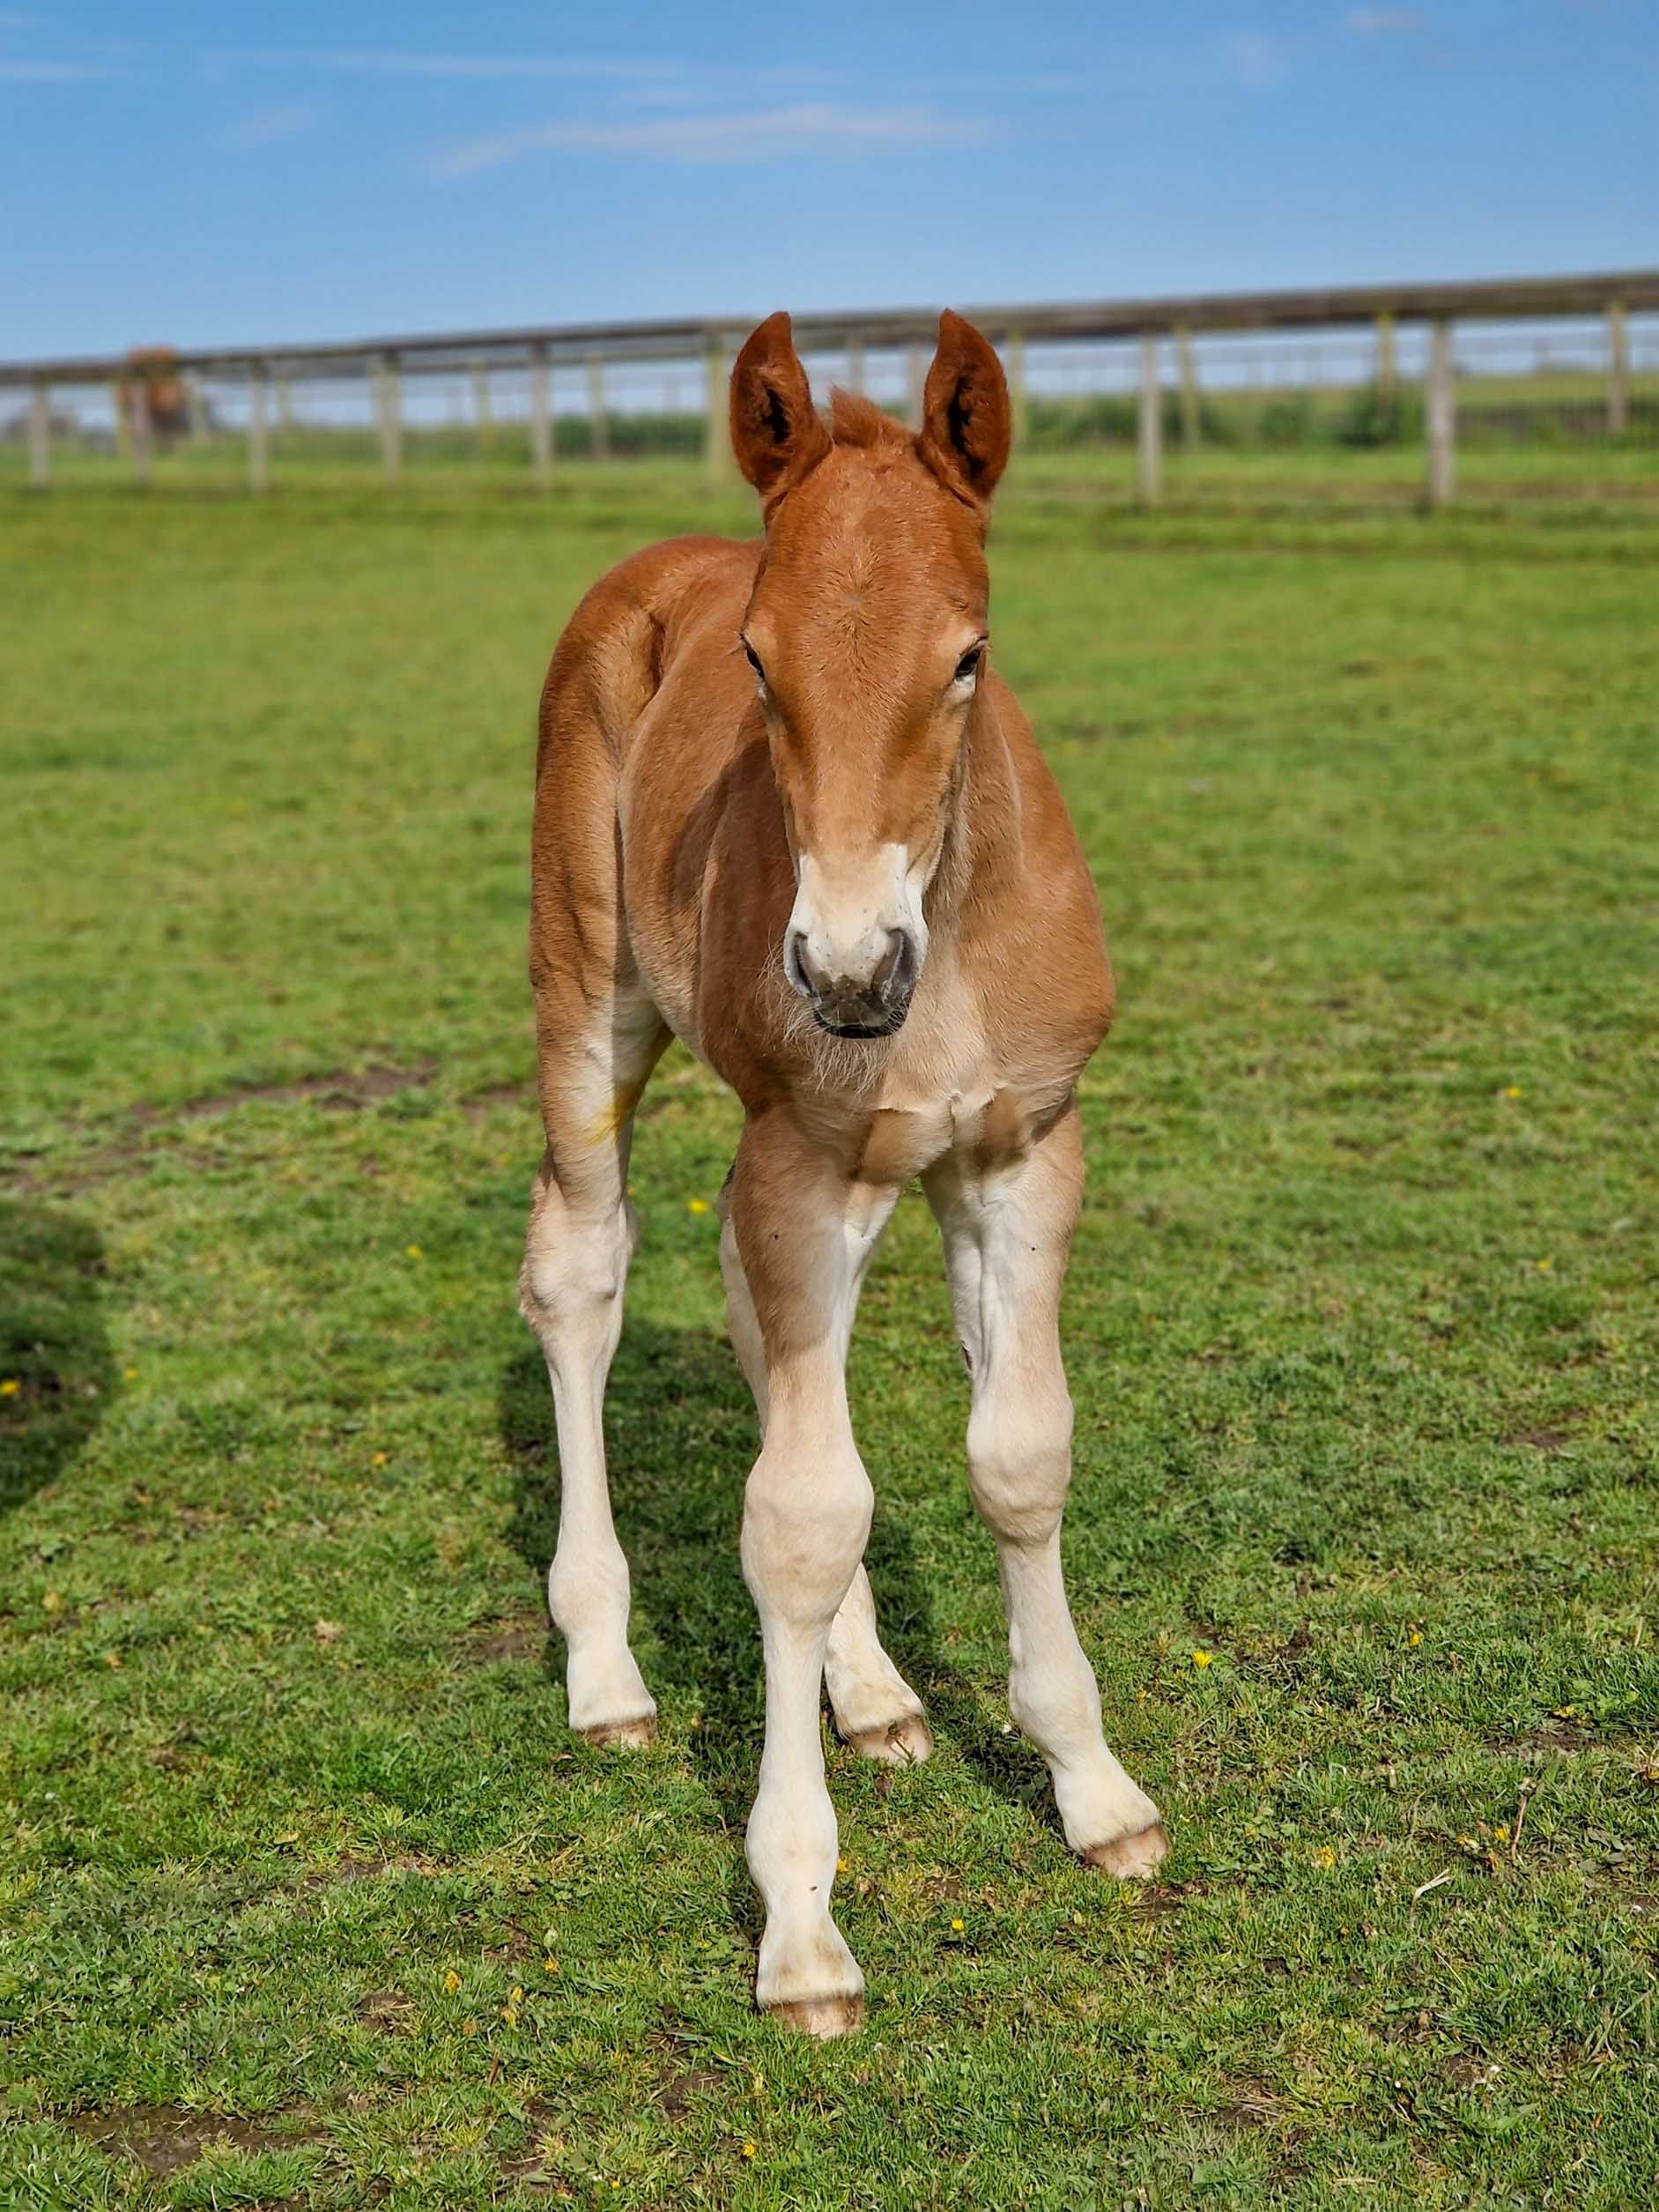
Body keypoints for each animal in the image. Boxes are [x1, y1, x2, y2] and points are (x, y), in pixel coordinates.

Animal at [520, 309, 1168, 2037]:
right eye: (755, 663)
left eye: (969, 655)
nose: (849, 975)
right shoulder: (804, 1163)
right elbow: (799, 1521)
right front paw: (800, 1924)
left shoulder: (1017, 1155)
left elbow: (1015, 1458)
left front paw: (1093, 1786)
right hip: (588, 995)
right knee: (580, 1273)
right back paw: (603, 1666)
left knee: (755, 1331)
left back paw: (871, 1692)